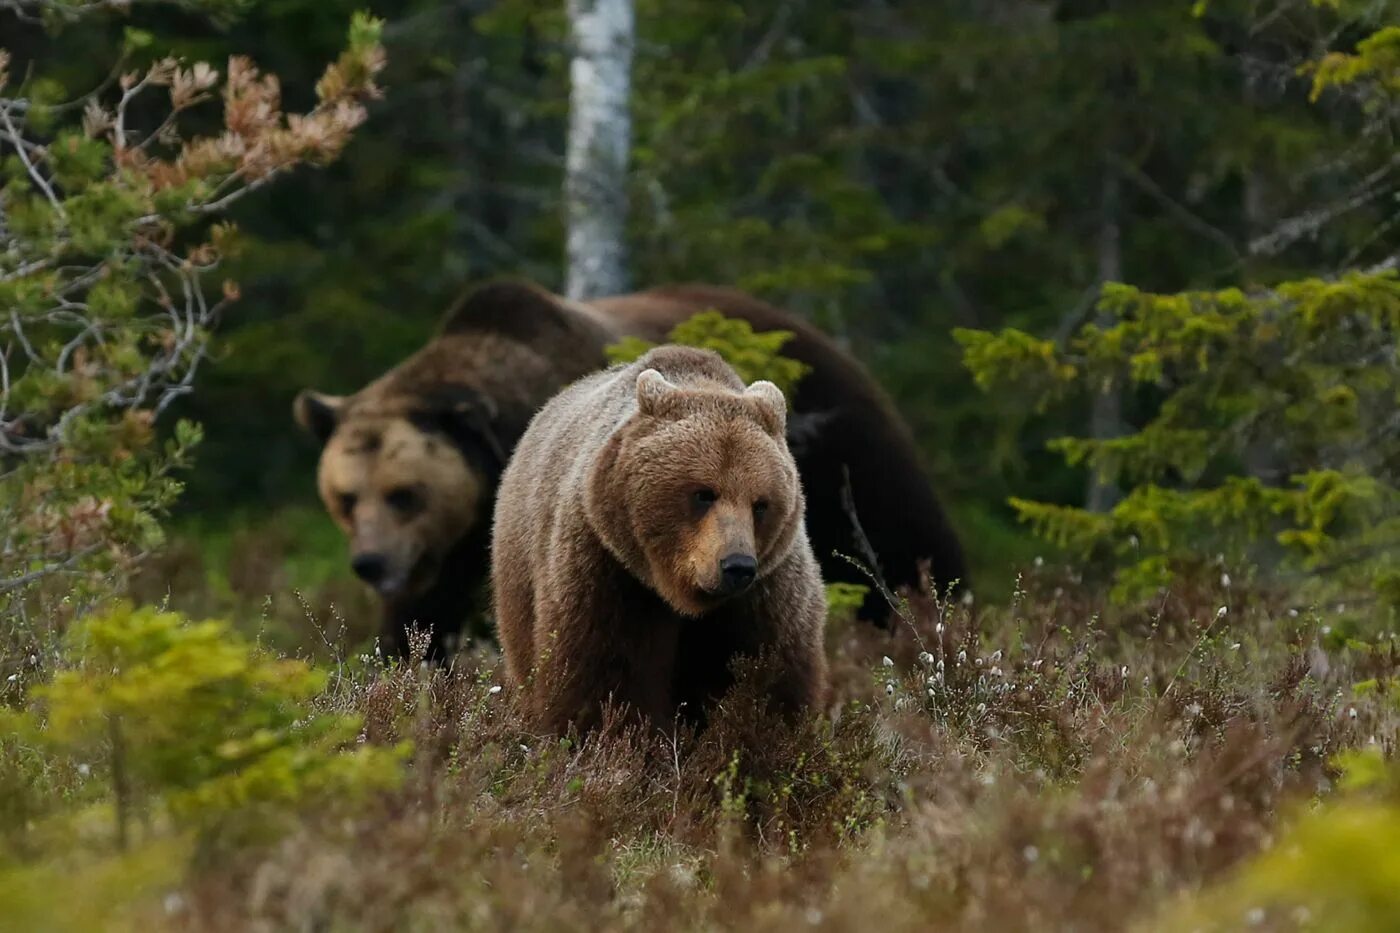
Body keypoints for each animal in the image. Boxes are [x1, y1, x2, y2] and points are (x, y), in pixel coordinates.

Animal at [298, 275, 963, 652]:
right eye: (347, 498)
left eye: (405, 493)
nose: (370, 562)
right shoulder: (457, 548)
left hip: (846, 460)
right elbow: (423, 623)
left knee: (903, 550)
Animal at [490, 344, 823, 728]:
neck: (681, 594)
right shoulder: (609, 570)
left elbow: (774, 678)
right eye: (703, 493)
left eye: (761, 504)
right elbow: (603, 676)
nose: (737, 566)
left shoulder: (767, 592)